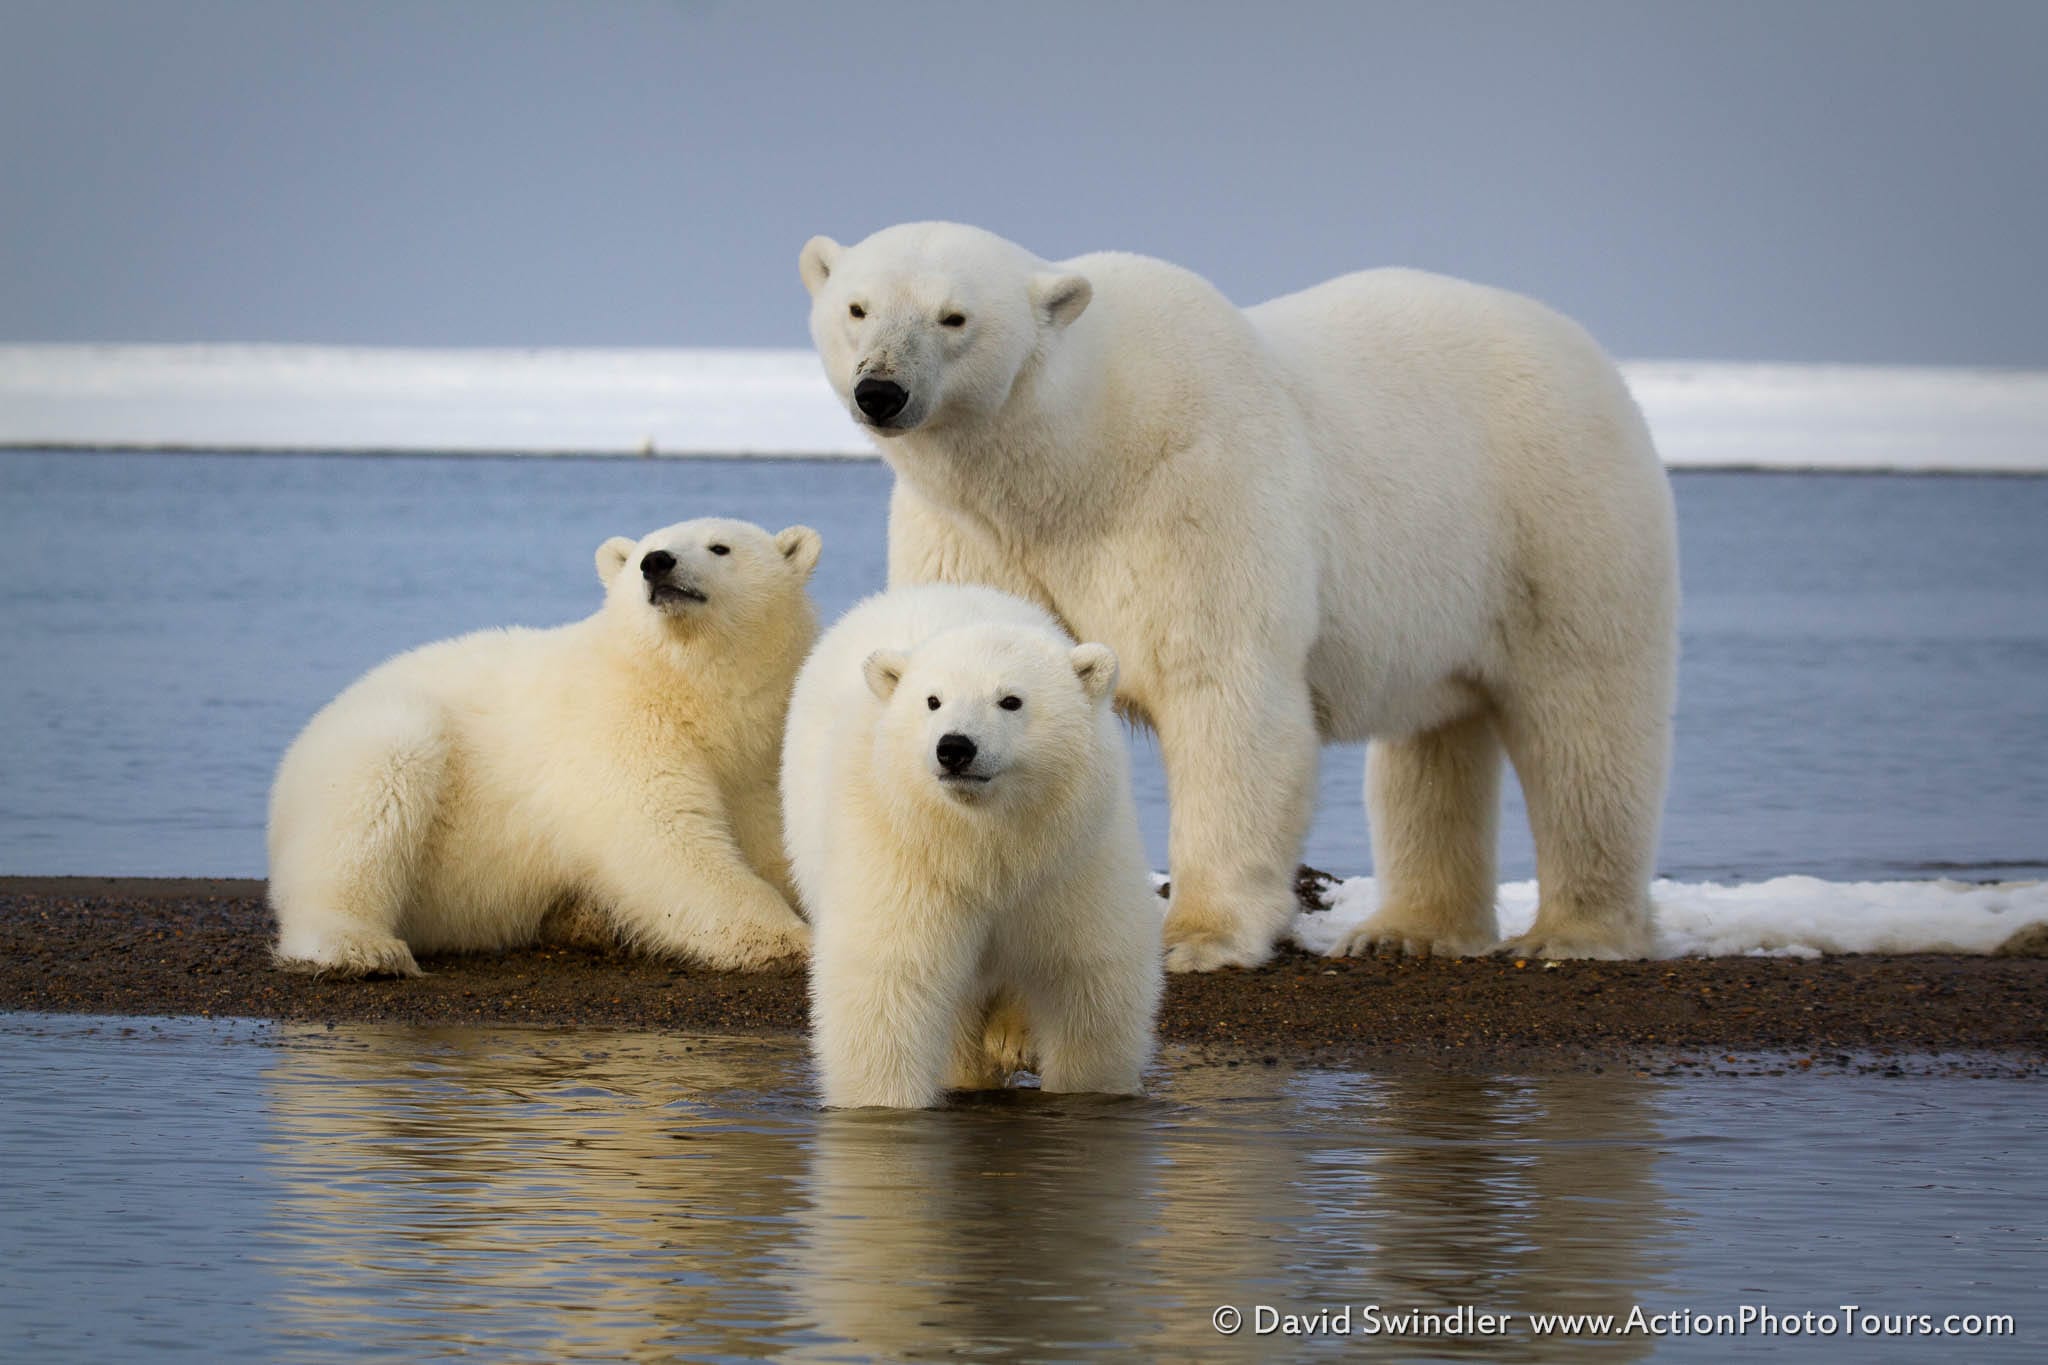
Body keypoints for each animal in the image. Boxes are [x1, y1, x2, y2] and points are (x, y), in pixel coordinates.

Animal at [268, 517, 819, 978]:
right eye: (645, 550)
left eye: (719, 547)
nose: (657, 562)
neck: (689, 689)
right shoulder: (618, 725)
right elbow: (664, 838)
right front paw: (792, 939)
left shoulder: (761, 755)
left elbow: (774, 835)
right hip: (367, 754)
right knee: (374, 791)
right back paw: (362, 947)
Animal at [786, 585, 1171, 1113]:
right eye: (932, 700)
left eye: (1011, 700)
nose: (954, 747)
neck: (983, 838)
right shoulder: (903, 850)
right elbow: (887, 980)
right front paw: (884, 1103)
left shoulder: (1074, 855)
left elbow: (1089, 978)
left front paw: (1087, 1089)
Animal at [798, 222, 1679, 970]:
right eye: (857, 306)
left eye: (954, 317)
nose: (881, 390)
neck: (1072, 459)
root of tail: (1591, 355)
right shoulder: (972, 534)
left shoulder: (1196, 491)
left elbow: (1224, 695)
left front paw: (1199, 936)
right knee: (1435, 740)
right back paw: (1411, 929)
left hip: (1558, 516)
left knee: (1586, 719)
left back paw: (1579, 931)